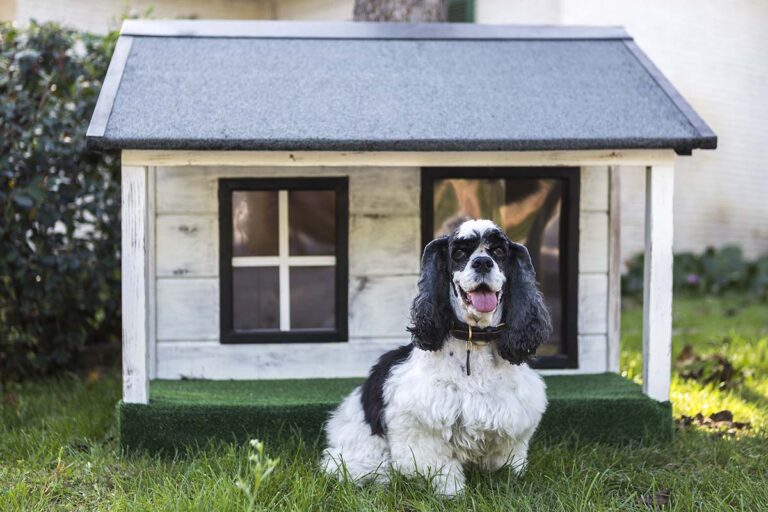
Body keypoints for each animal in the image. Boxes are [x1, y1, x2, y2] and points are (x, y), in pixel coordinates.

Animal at [320, 219, 548, 496]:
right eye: (459, 253)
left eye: (498, 251)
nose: (482, 262)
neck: (474, 339)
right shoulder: (420, 425)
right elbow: (441, 467)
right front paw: (452, 493)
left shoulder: (512, 423)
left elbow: (506, 461)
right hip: (359, 450)